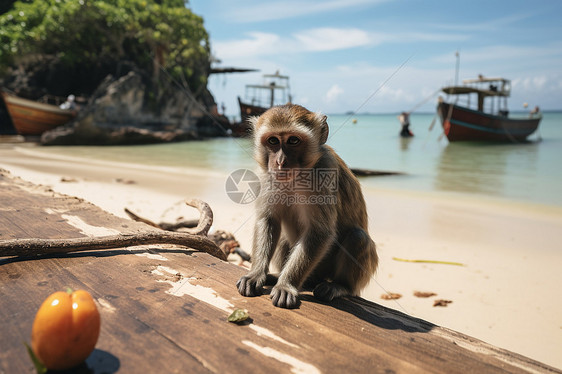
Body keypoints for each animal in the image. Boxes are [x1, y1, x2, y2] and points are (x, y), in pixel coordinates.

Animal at [234, 103, 378, 308]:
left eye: (293, 140)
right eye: (273, 141)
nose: (280, 162)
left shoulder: (324, 172)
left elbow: (320, 232)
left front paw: (286, 285)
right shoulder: (266, 176)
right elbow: (268, 220)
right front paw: (256, 274)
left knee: (358, 237)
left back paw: (340, 286)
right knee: (283, 237)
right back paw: (279, 276)